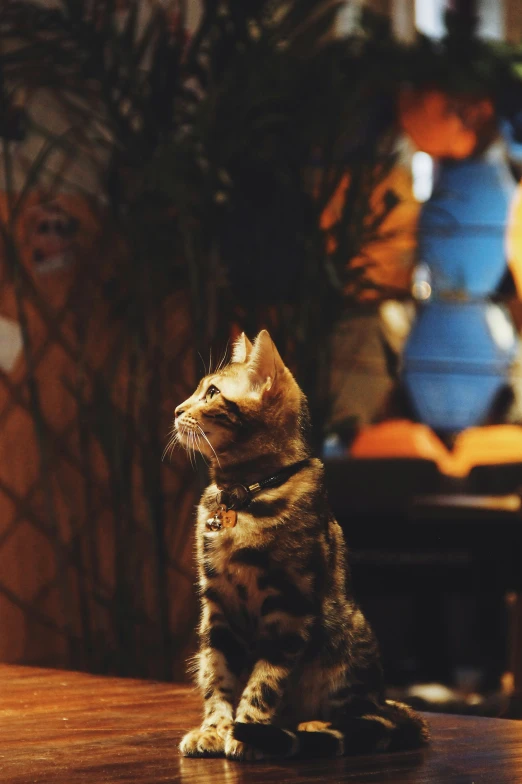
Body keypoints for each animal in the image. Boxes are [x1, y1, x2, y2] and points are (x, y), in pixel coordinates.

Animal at [175, 330, 426, 760]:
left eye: (211, 392)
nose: (176, 410)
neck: (243, 495)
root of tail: (387, 702)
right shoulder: (217, 610)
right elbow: (218, 676)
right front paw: (215, 729)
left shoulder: (290, 610)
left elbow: (264, 682)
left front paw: (247, 732)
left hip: (347, 649)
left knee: (361, 715)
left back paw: (312, 725)